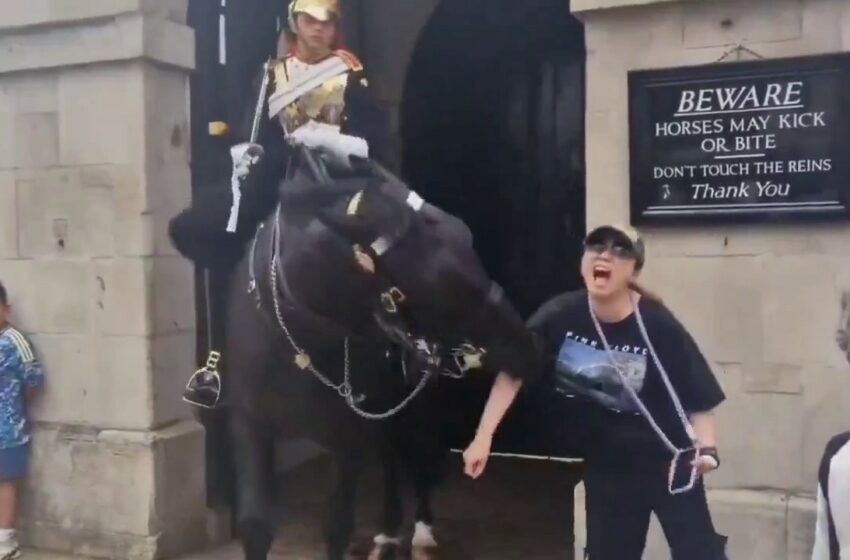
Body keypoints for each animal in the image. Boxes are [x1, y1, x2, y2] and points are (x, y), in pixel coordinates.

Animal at [171, 147, 536, 556]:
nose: (528, 348)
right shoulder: (249, 423)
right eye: (437, 280)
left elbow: (338, 525)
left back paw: (419, 530)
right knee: (391, 457)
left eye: (466, 240)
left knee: (416, 453)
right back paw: (389, 528)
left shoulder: (349, 436)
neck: (300, 342)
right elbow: (255, 524)